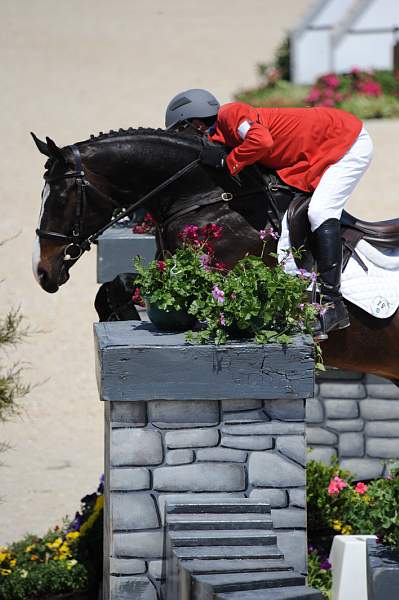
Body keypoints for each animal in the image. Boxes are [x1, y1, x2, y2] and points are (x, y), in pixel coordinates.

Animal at [32, 127, 399, 380]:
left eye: (60, 198)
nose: (42, 271)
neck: (209, 198)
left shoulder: (217, 282)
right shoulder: (168, 272)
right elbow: (117, 284)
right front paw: (118, 315)